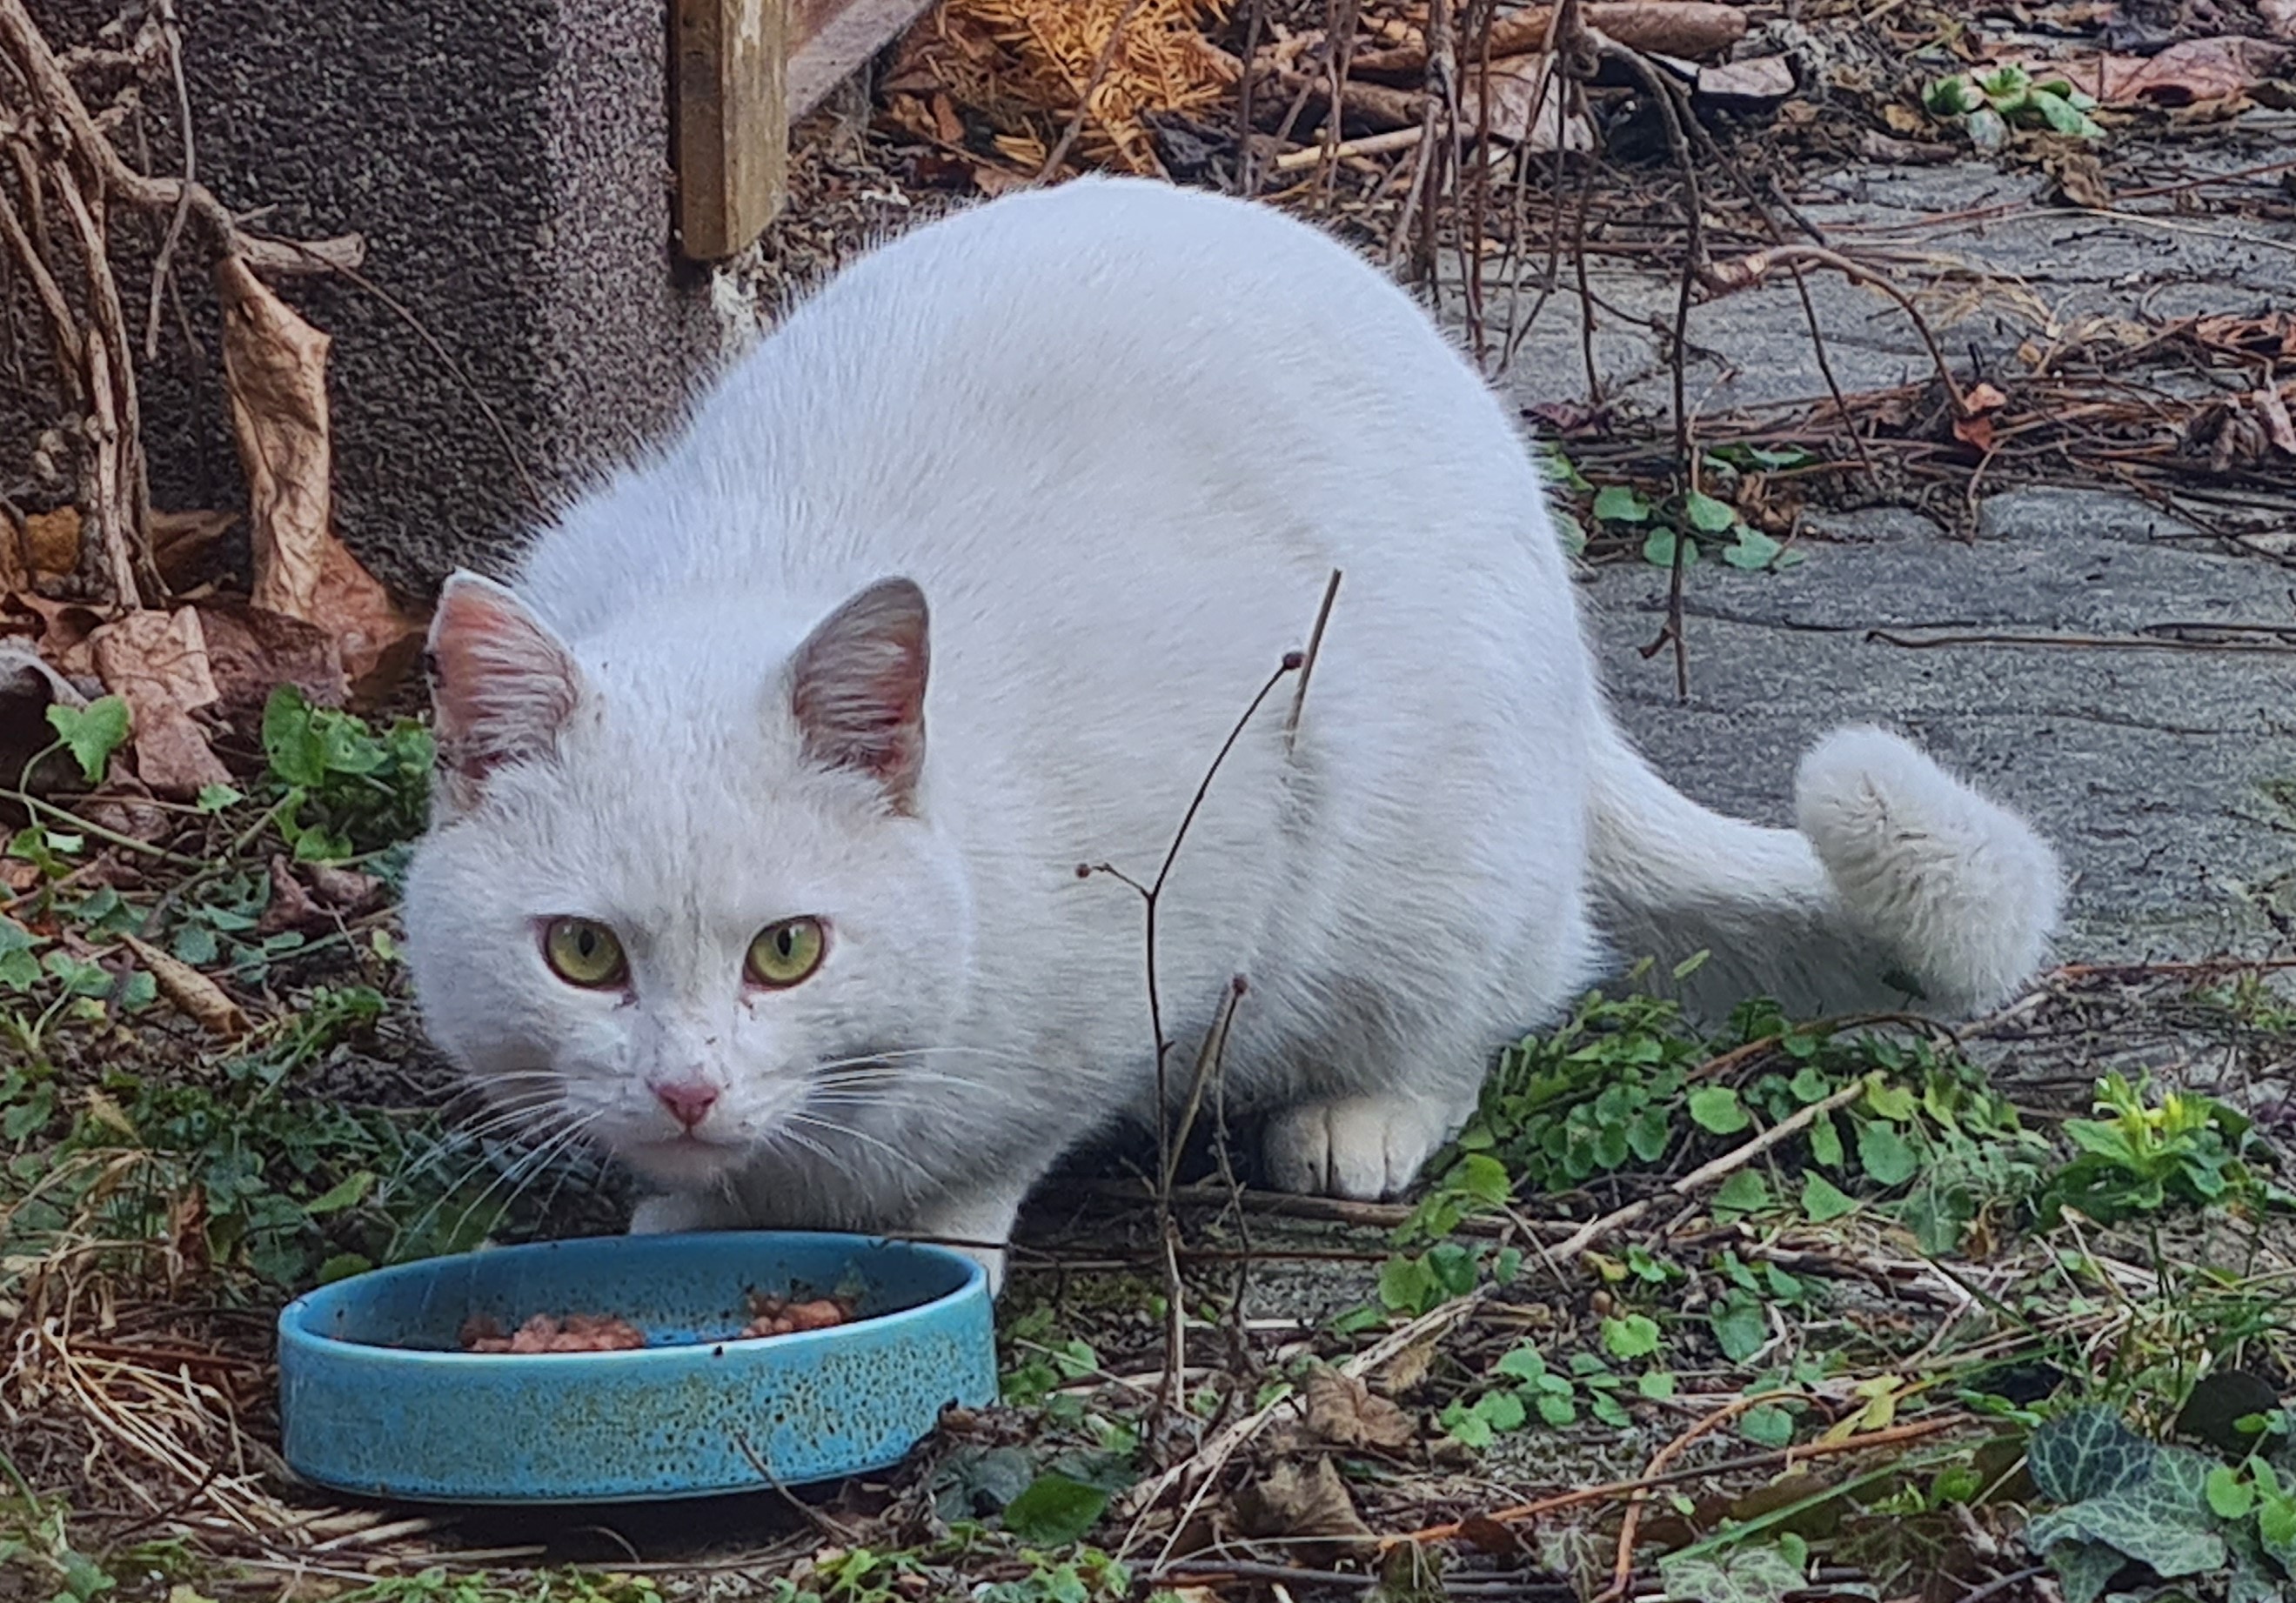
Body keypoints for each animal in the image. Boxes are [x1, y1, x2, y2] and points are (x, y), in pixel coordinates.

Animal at [399, 174, 2066, 1277]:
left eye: (787, 948)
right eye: (583, 953)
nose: (685, 1085)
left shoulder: (1185, 902)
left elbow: (993, 1148)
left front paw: (932, 1228)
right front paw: (686, 1203)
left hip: (1426, 874)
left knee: (1493, 1001)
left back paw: (1360, 1117)